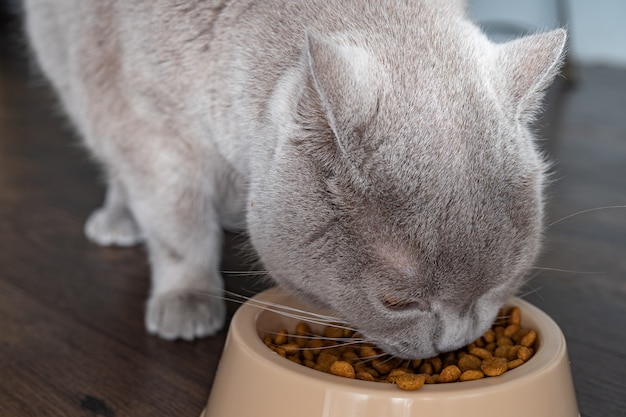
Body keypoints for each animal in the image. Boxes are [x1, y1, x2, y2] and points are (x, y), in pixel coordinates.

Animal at [23, 0, 564, 358]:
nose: (454, 343)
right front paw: (187, 302)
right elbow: (179, 230)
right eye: (396, 303)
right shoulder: (153, 130)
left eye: (506, 279)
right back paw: (119, 218)